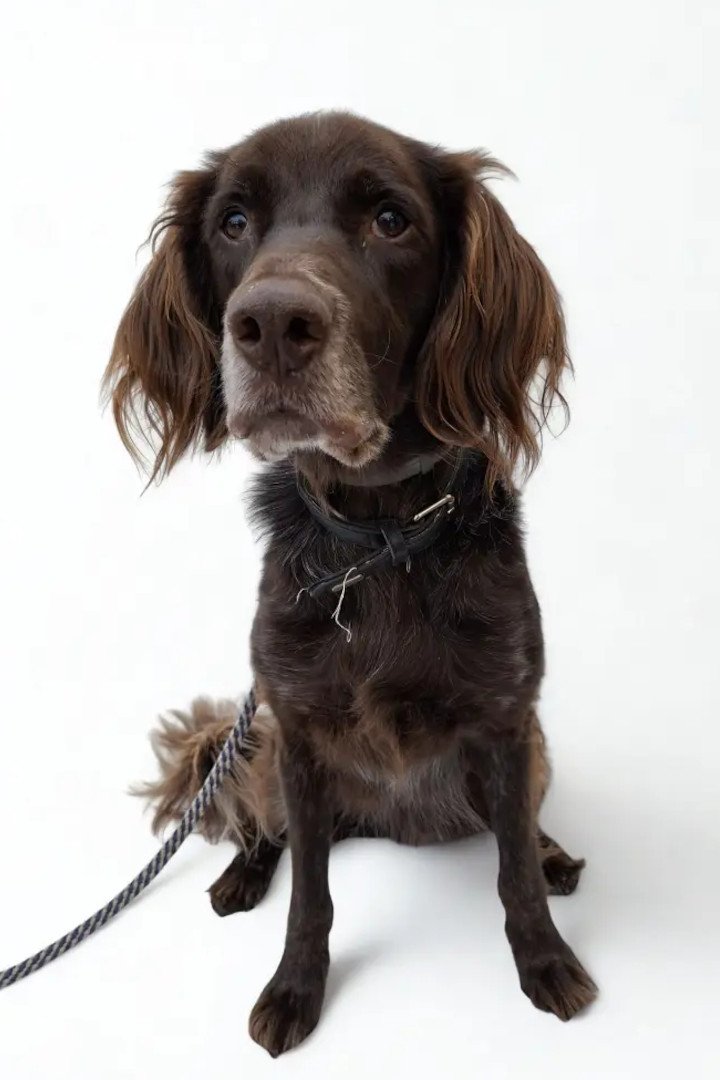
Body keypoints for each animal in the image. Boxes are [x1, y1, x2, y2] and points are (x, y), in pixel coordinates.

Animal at [104, 111, 597, 1056]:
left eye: (391, 220)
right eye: (232, 222)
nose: (271, 322)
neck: (380, 538)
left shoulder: (511, 718)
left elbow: (512, 870)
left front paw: (547, 960)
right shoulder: (295, 732)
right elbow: (312, 896)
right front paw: (294, 989)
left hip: (538, 749)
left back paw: (556, 854)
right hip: (259, 750)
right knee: (271, 833)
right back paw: (240, 876)